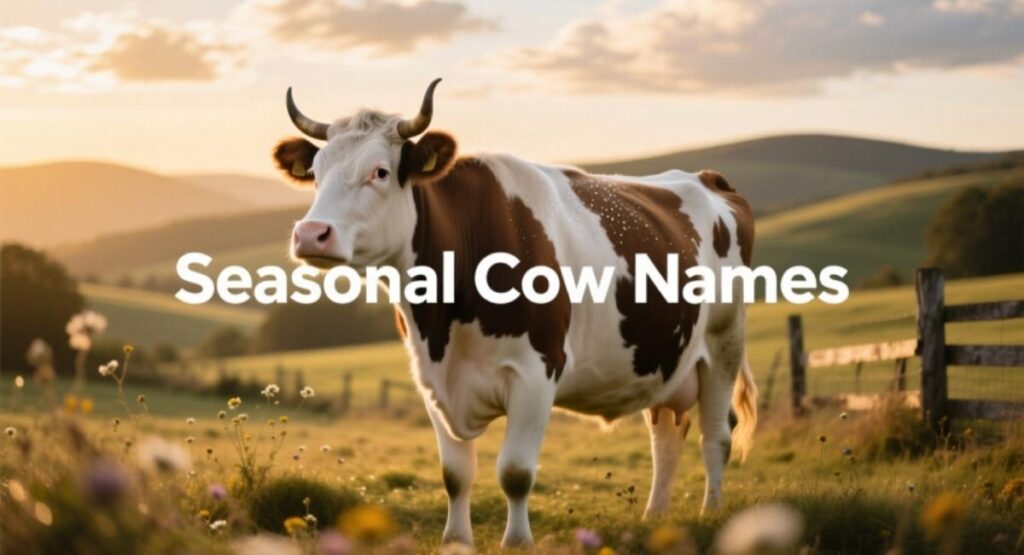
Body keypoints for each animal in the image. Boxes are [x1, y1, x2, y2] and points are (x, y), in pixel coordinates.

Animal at [274, 79, 757, 548]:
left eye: (380, 171)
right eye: (315, 174)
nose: (311, 234)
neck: (445, 320)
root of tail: (704, 178)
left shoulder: (535, 374)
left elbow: (515, 472)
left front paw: (517, 541)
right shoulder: (432, 382)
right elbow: (455, 475)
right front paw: (455, 540)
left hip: (724, 344)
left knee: (716, 436)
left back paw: (711, 514)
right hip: (665, 358)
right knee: (666, 440)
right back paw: (654, 518)